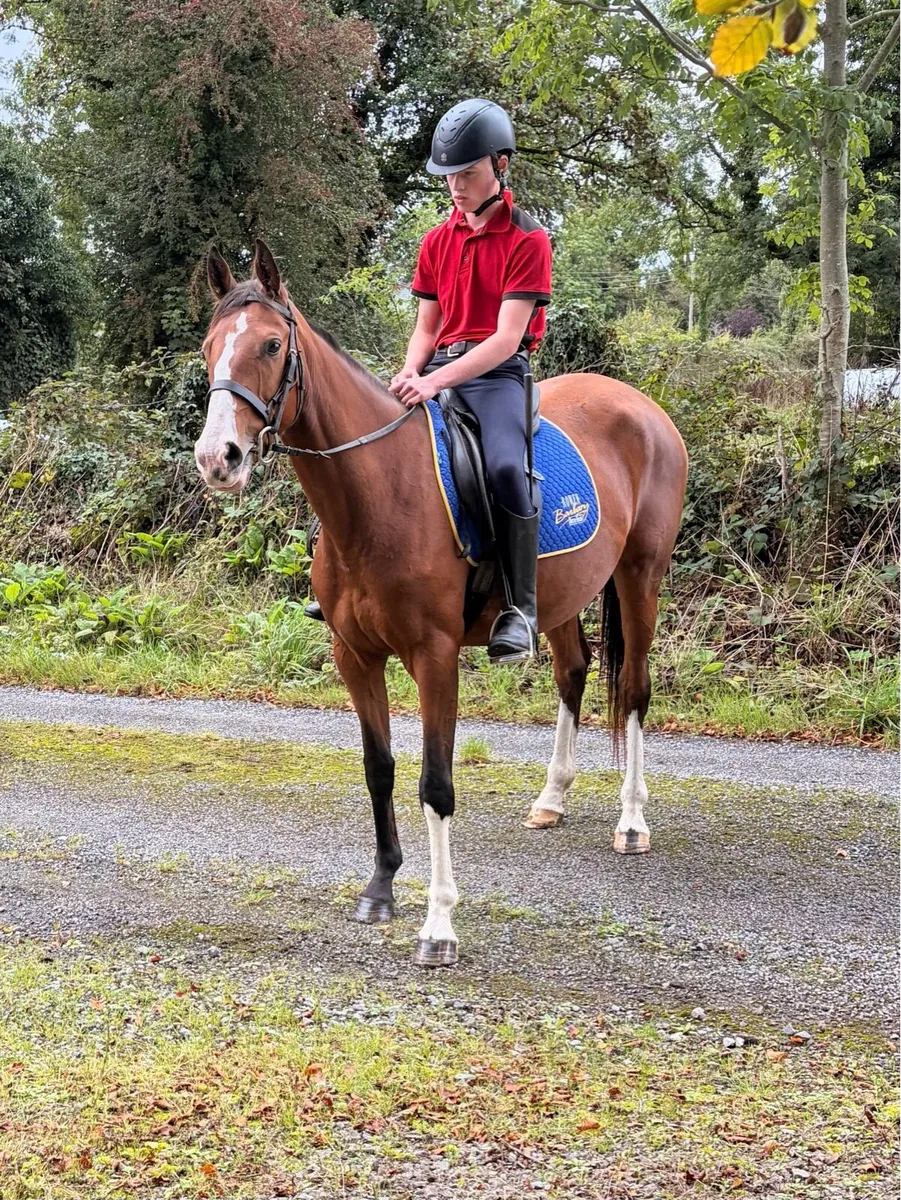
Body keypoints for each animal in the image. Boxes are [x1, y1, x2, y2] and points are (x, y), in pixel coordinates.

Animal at [194, 240, 688, 967]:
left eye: (271, 344)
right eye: (208, 348)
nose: (218, 458)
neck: (379, 489)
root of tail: (641, 405)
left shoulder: (434, 656)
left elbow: (435, 784)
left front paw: (438, 926)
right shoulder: (355, 655)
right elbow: (379, 770)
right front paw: (380, 888)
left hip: (639, 577)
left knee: (632, 688)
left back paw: (631, 821)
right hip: (561, 597)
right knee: (573, 672)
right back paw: (551, 798)